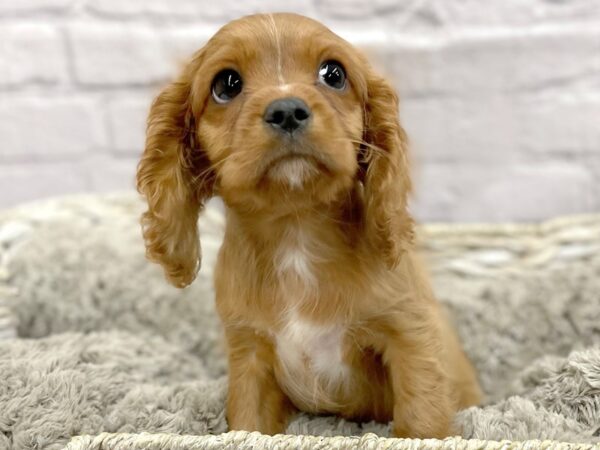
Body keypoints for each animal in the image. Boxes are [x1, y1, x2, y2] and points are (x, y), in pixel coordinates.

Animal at [137, 13, 482, 436]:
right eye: (226, 84)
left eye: (334, 74)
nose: (287, 110)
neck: (296, 230)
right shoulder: (248, 351)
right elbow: (249, 421)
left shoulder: (409, 333)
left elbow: (422, 413)